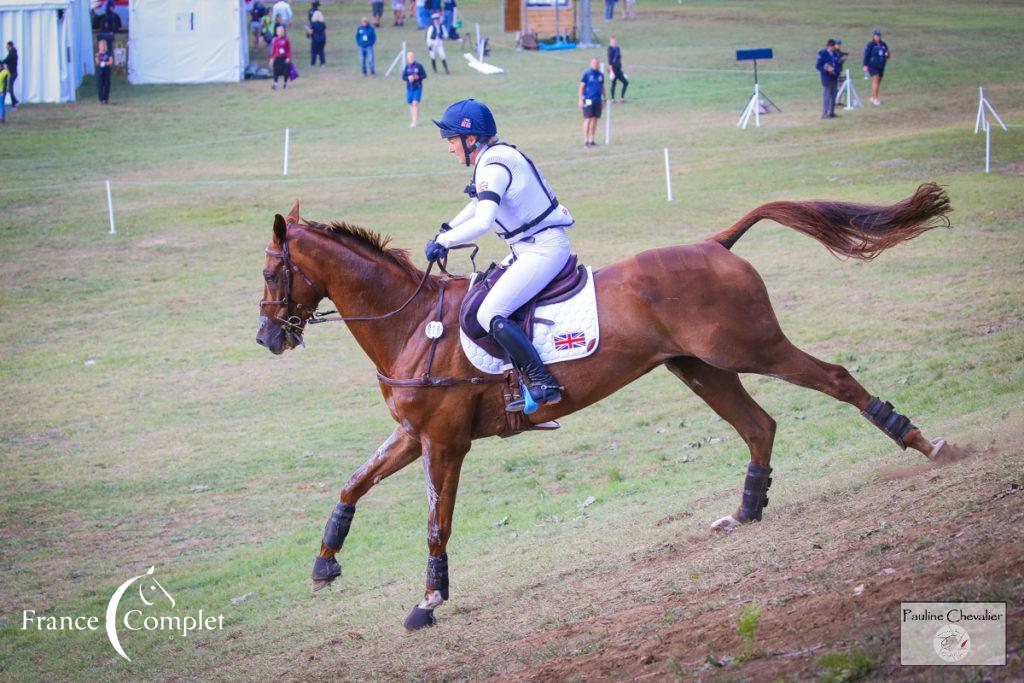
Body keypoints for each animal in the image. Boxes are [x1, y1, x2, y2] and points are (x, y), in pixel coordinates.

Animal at [256, 181, 950, 630]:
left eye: (268, 274)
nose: (267, 339)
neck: (410, 324)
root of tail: (715, 243)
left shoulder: (445, 443)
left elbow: (436, 522)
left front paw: (429, 600)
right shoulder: (412, 435)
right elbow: (352, 484)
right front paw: (324, 563)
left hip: (753, 348)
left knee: (835, 380)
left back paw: (923, 441)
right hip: (701, 368)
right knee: (759, 425)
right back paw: (746, 512)